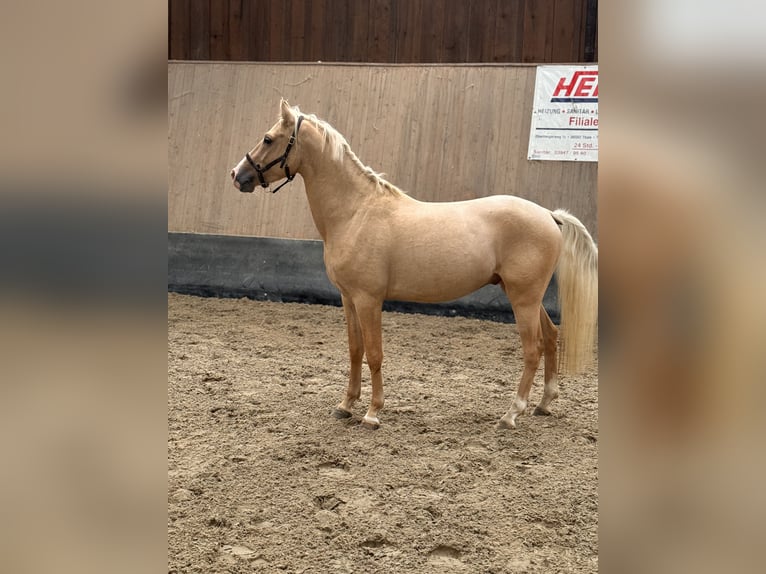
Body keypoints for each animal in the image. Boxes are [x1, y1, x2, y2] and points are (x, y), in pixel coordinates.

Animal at [230, 100, 600, 432]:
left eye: (268, 139)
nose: (237, 175)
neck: (356, 212)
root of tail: (549, 215)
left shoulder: (368, 300)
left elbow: (374, 354)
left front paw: (372, 413)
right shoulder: (348, 299)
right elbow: (354, 350)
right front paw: (345, 405)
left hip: (523, 298)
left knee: (532, 349)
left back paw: (512, 413)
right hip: (525, 296)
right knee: (551, 337)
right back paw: (544, 404)